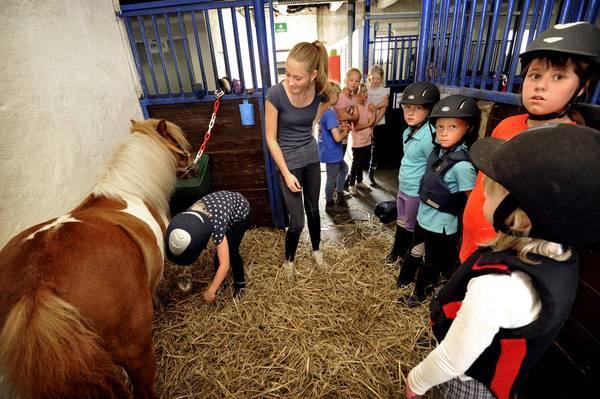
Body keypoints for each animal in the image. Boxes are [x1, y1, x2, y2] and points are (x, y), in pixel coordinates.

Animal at [0, 119, 191, 399]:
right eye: (177, 141)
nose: (191, 161)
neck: (130, 190)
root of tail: (37, 285)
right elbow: (155, 290)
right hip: (135, 349)